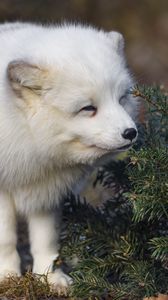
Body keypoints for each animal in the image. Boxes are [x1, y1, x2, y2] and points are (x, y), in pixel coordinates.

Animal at [0, 22, 137, 288]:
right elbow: (6, 241)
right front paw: (7, 277)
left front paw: (50, 277)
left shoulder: (46, 192)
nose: (131, 133)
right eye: (88, 108)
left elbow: (46, 241)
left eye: (121, 98)